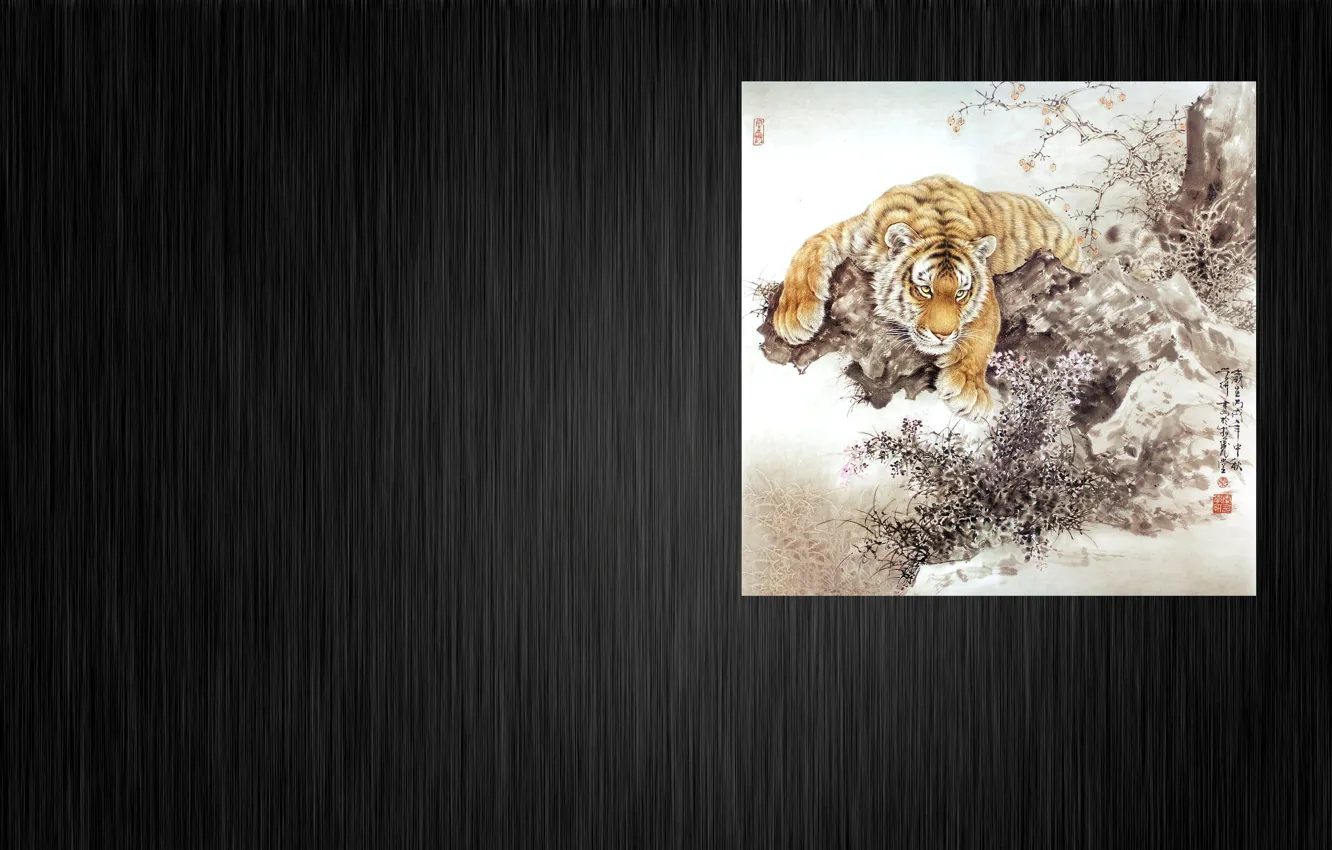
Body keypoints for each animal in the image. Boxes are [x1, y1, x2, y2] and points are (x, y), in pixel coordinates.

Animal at [771, 175, 1084, 419]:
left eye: (961, 293)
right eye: (925, 289)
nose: (943, 335)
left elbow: (983, 331)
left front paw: (969, 388)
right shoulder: (850, 234)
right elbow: (807, 251)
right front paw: (792, 318)